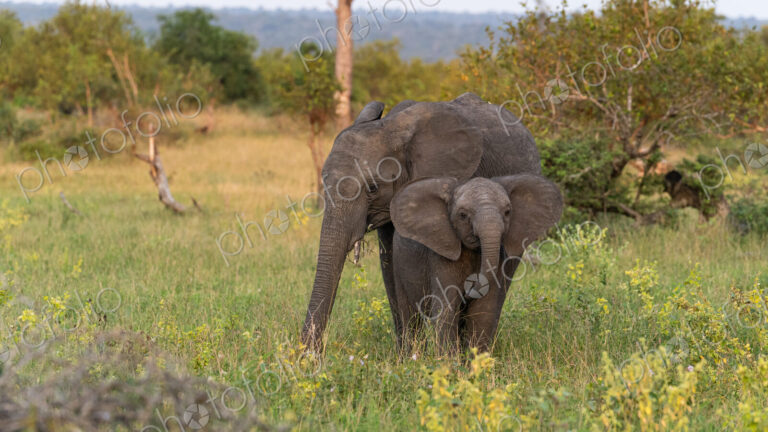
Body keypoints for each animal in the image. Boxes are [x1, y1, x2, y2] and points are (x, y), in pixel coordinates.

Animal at [301, 92, 544, 353]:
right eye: (324, 183)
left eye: (373, 188)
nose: (310, 356)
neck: (393, 128)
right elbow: (391, 261)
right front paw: (406, 357)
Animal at [389, 175, 563, 353]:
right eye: (463, 215)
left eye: (507, 212)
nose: (468, 290)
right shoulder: (440, 259)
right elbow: (445, 310)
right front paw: (448, 360)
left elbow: (483, 311)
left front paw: (476, 359)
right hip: (398, 262)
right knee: (410, 317)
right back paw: (411, 357)